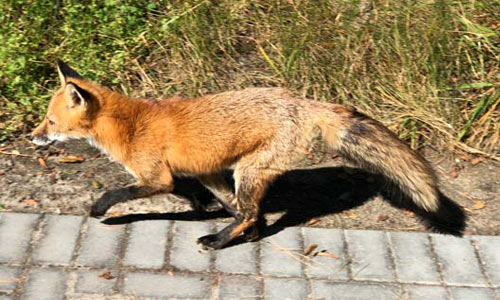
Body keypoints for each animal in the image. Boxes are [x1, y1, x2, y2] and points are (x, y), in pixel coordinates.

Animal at [32, 61, 450, 248]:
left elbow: (119, 192)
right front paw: (232, 222)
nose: (33, 137)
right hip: (244, 173)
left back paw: (217, 242)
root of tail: (301, 102)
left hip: (248, 171)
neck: (128, 125)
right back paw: (245, 234)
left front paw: (99, 208)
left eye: (50, 122)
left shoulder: (157, 178)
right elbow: (223, 204)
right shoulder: (205, 173)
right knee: (247, 211)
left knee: (249, 209)